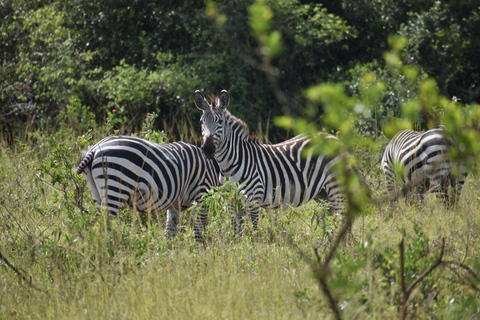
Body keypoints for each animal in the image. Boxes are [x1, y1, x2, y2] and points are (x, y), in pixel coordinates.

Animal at [76, 135, 222, 240]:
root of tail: (94, 148)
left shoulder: (175, 205)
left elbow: (170, 233)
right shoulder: (202, 195)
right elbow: (200, 231)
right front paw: (200, 253)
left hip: (97, 193)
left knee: (95, 225)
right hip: (116, 187)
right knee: (102, 225)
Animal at [193, 89, 362, 232]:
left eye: (220, 121)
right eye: (201, 122)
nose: (207, 149)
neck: (229, 166)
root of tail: (336, 140)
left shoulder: (253, 198)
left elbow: (254, 231)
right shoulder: (232, 201)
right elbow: (237, 232)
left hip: (336, 187)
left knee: (342, 219)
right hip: (323, 194)